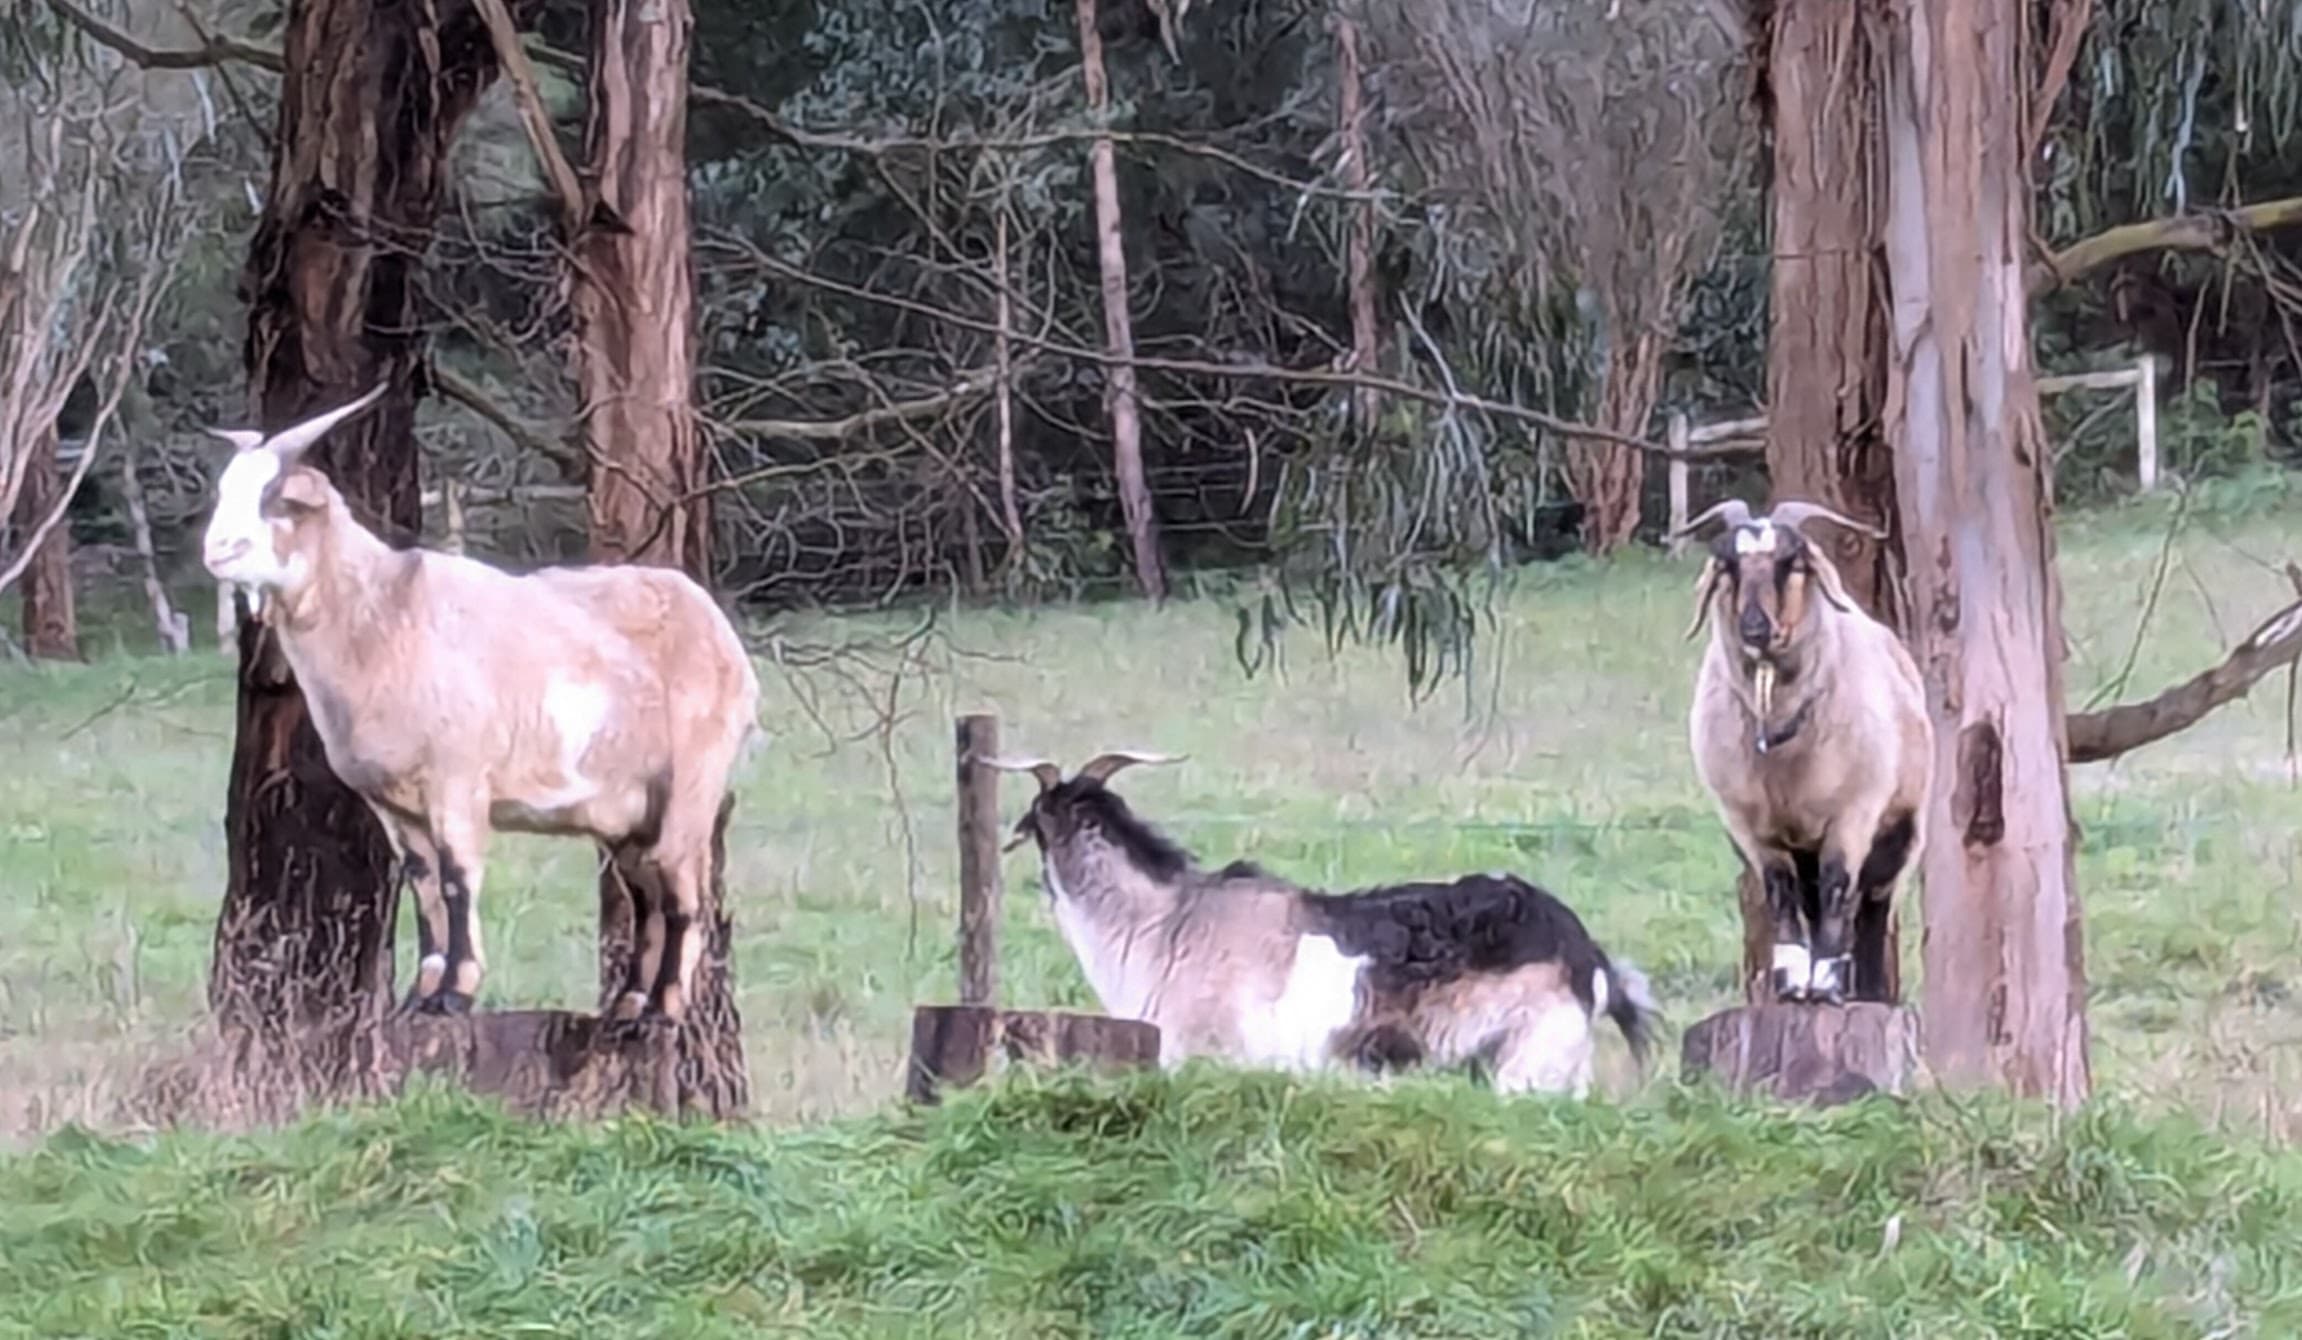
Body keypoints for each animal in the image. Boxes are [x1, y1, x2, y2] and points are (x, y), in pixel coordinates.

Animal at [197, 389, 755, 1031]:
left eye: (280, 501)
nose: (217, 551)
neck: (385, 615)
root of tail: (723, 636)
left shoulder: (456, 779)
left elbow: (458, 880)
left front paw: (457, 992)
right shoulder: (393, 803)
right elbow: (424, 886)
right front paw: (422, 994)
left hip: (693, 780)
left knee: (683, 890)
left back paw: (664, 1008)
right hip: (627, 808)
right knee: (647, 894)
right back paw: (627, 1006)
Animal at [1666, 501, 1933, 1008]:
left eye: (1793, 563)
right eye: (1726, 565)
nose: (1755, 629)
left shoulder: (1853, 815)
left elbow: (1838, 889)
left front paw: (1826, 987)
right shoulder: (1751, 827)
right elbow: (1779, 894)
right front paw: (1792, 985)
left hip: (1901, 831)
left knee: (1871, 906)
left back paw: (1868, 992)